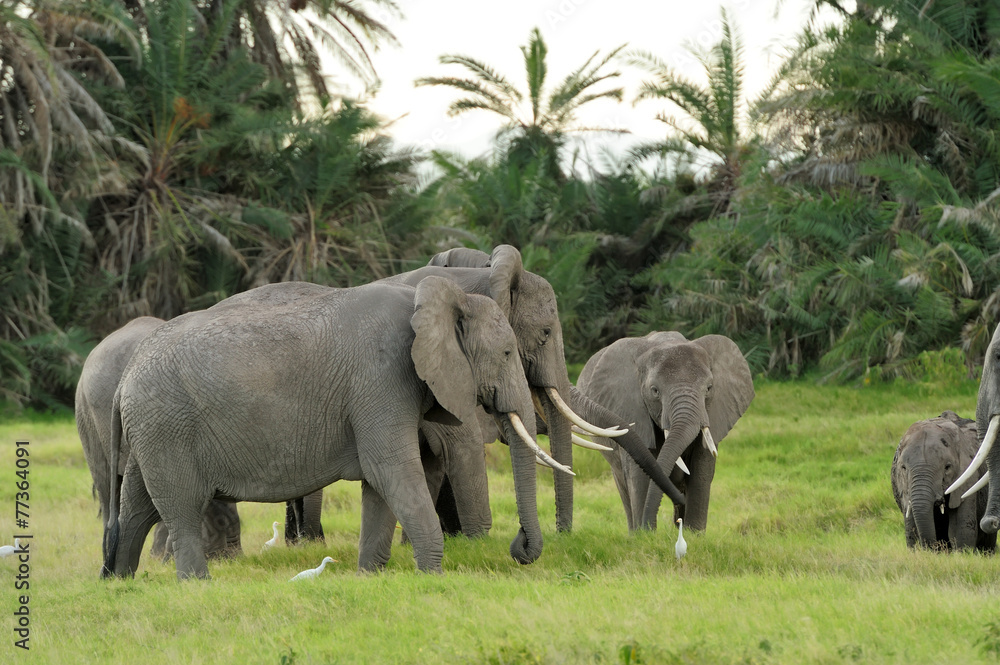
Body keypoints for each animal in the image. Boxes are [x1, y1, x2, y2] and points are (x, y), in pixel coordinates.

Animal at [101, 276, 551, 579]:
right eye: (507, 352)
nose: (520, 547)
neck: (437, 299)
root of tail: (124, 381)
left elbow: (380, 485)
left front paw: (369, 578)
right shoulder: (381, 380)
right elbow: (392, 471)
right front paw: (432, 578)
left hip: (152, 429)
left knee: (137, 505)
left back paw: (120, 583)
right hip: (167, 427)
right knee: (181, 507)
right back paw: (197, 585)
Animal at [577, 331, 754, 532]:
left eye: (709, 388)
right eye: (655, 391)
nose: (680, 499)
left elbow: (701, 473)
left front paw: (693, 535)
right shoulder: (631, 410)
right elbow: (638, 475)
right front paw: (645, 535)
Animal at [891, 411, 995, 552]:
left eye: (947, 467)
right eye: (903, 468)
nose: (934, 548)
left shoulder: (968, 474)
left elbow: (960, 531)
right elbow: (911, 531)